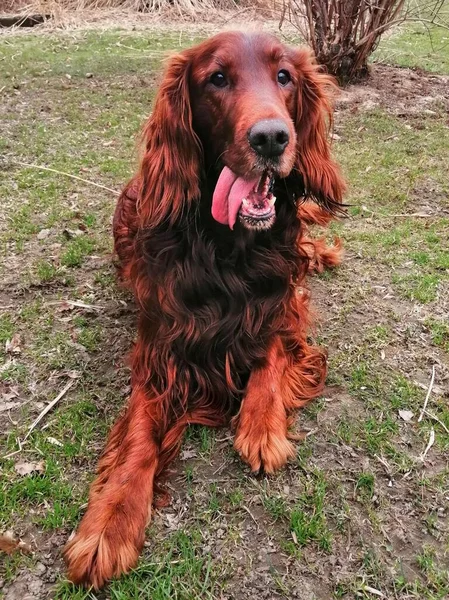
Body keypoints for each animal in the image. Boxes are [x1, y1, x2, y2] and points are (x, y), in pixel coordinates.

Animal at [63, 30, 344, 588]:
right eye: (217, 78)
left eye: (285, 76)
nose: (272, 139)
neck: (228, 246)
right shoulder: (161, 348)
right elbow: (139, 439)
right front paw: (109, 521)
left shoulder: (285, 303)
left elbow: (269, 355)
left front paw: (262, 425)